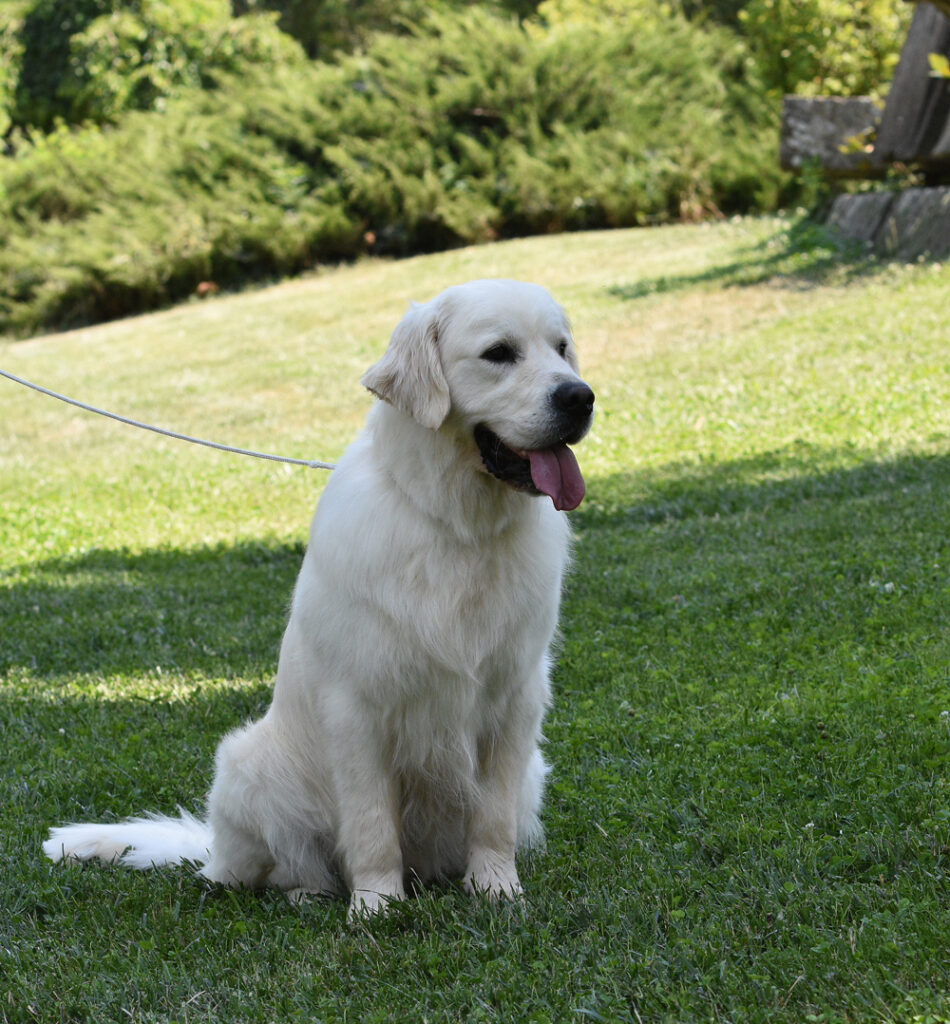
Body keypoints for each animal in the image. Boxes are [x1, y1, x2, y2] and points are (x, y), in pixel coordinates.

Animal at [43, 279, 595, 918]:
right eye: (499, 353)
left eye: (562, 348)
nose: (581, 398)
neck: (456, 526)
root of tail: (209, 849)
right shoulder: (357, 706)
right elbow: (371, 825)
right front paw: (377, 907)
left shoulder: (515, 698)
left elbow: (493, 819)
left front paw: (498, 890)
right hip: (245, 768)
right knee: (267, 871)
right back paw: (306, 892)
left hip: (531, 772)